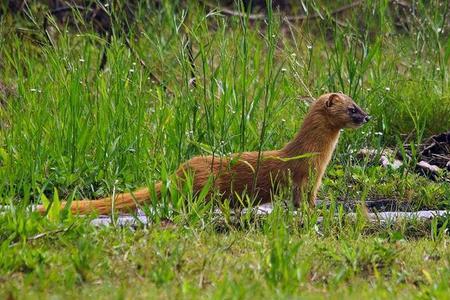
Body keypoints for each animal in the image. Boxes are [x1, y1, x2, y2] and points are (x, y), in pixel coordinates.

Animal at [37, 92, 370, 214]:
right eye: (352, 108)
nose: (368, 116)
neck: (317, 156)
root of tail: (178, 172)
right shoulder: (303, 177)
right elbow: (302, 199)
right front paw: (314, 210)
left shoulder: (314, 179)